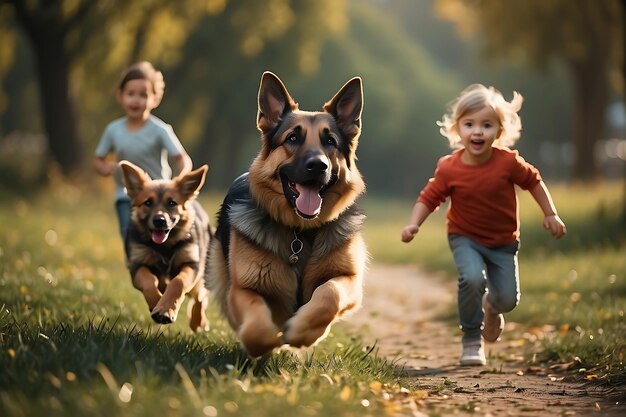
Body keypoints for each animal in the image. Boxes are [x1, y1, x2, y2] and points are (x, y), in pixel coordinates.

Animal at [118, 161, 211, 330]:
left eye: (172, 203)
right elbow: (149, 281)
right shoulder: (137, 265)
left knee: (200, 295)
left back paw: (198, 321)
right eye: (148, 202)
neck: (164, 247)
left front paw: (166, 309)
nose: (159, 221)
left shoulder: (191, 263)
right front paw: (157, 304)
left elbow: (178, 282)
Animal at [206, 70, 366, 354]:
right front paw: (270, 340)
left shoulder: (349, 279)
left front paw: (303, 331)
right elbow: (257, 328)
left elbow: (329, 294)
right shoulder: (243, 289)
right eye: (292, 138)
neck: (300, 233)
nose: (318, 166)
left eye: (330, 142)